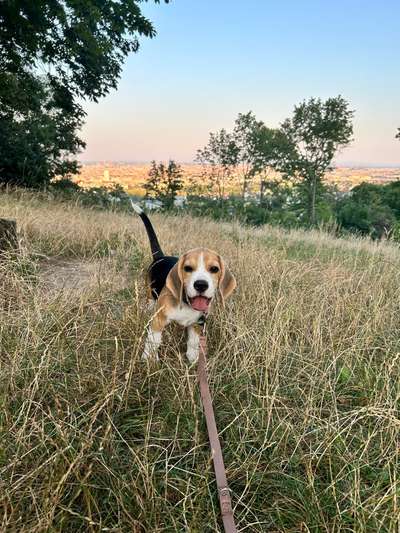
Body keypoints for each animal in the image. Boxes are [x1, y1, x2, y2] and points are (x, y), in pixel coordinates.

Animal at [131, 203, 238, 362]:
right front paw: (148, 358)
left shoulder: (198, 323)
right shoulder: (158, 320)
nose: (201, 285)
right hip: (150, 293)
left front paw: (193, 358)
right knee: (150, 302)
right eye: (188, 268)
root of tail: (160, 257)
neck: (187, 303)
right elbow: (153, 340)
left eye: (214, 269)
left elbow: (193, 341)